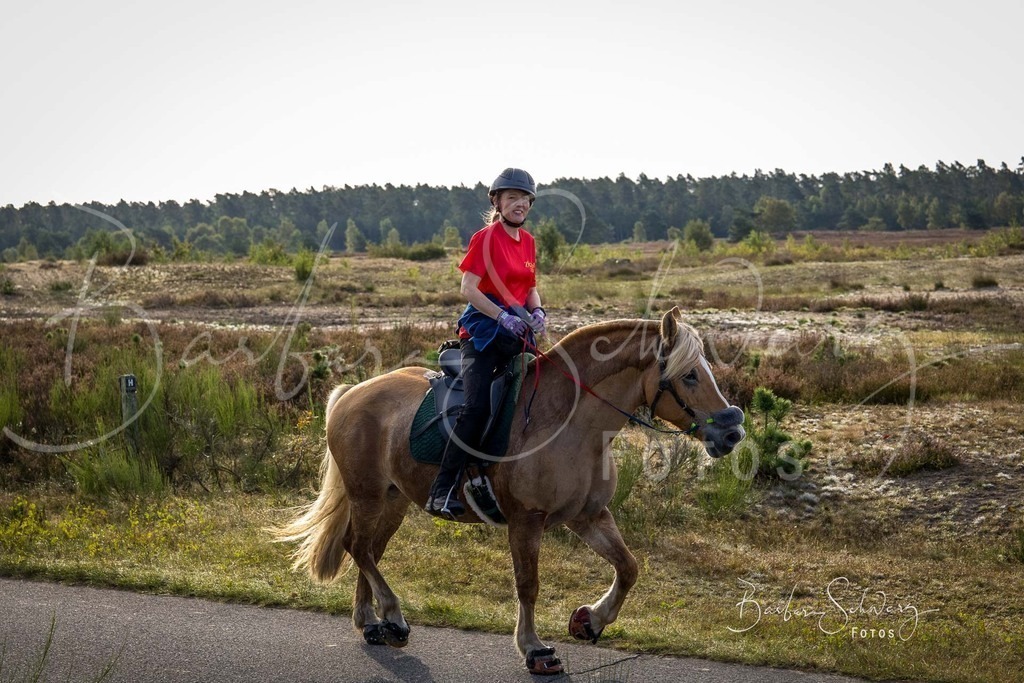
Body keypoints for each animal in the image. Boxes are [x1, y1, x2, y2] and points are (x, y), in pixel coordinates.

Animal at [273, 307, 745, 675]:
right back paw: (392, 616)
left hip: (393, 501)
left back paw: (373, 624)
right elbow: (528, 583)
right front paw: (535, 649)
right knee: (358, 547)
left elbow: (628, 567)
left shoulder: (588, 515)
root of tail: (349, 394)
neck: (573, 424)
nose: (732, 432)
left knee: (367, 550)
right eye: (689, 376)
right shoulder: (526, 520)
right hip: (368, 496)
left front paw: (590, 620)